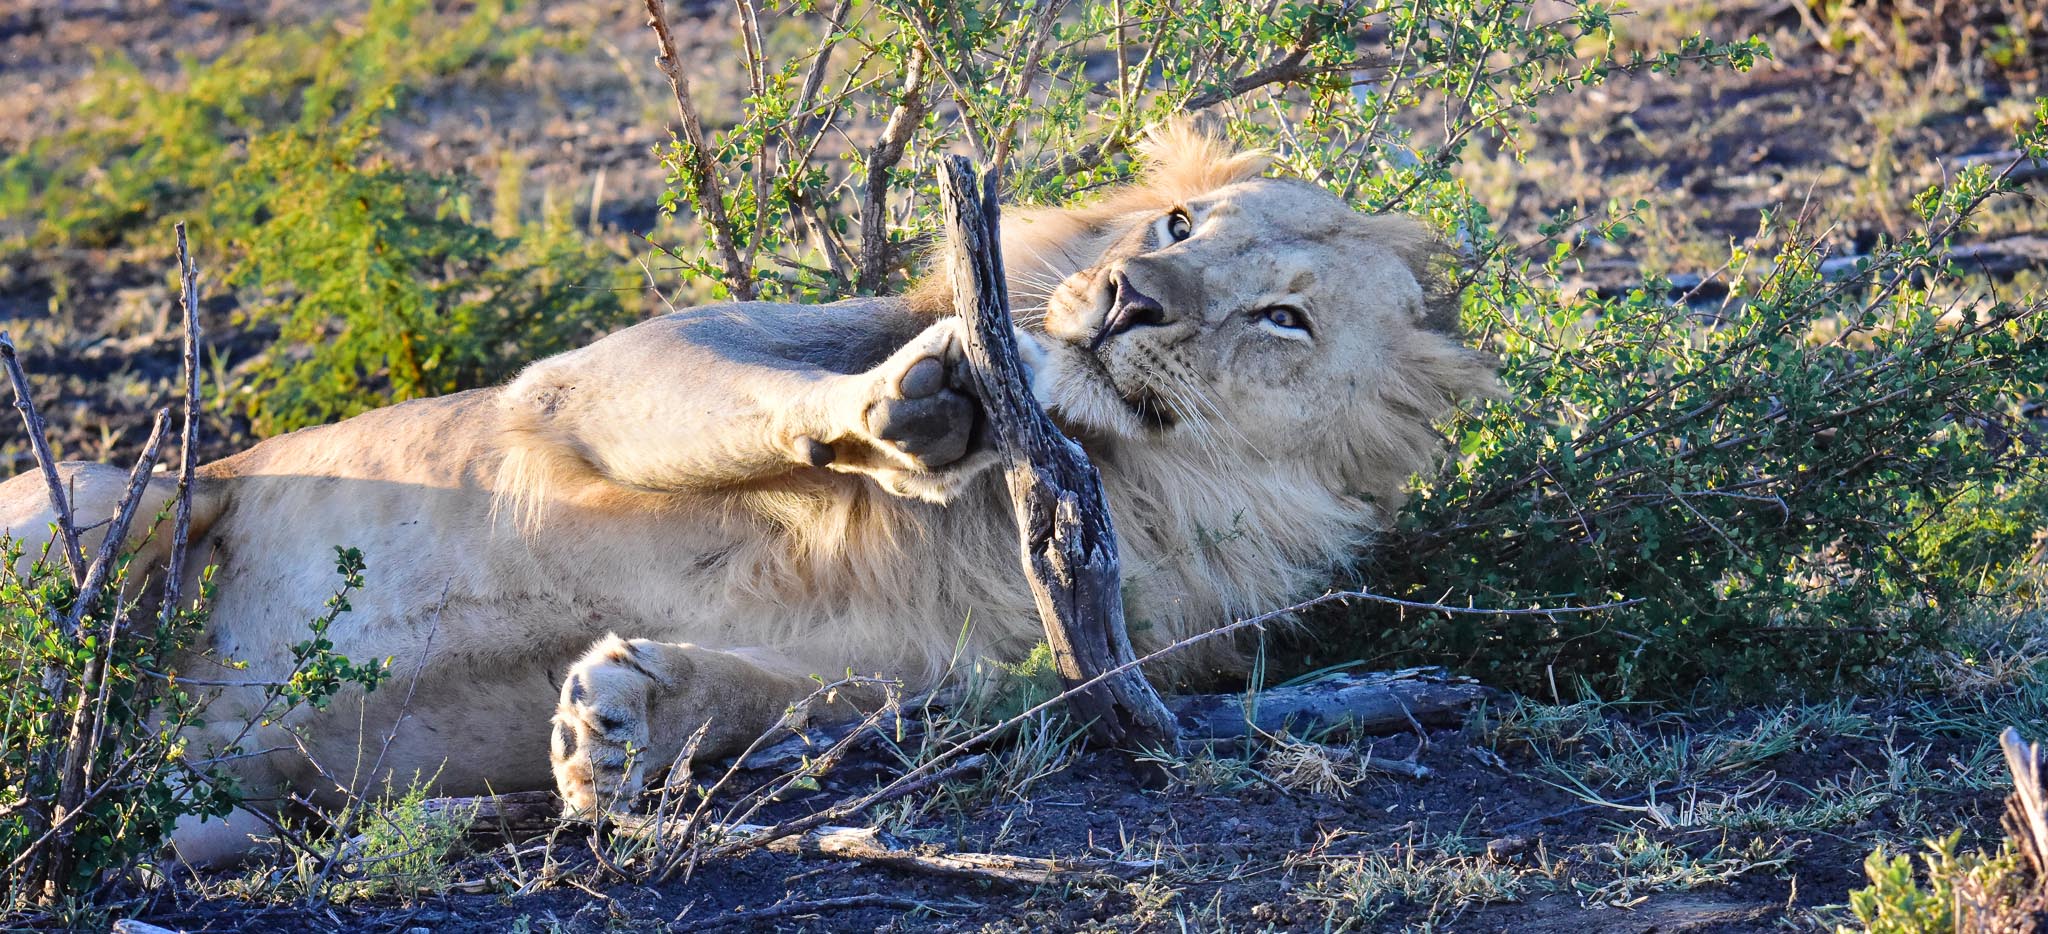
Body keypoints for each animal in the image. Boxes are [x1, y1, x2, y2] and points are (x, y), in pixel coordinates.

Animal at [0, 125, 1496, 863]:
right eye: (1178, 225)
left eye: (1282, 317)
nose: (1127, 294)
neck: (1114, 468)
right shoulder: (580, 386)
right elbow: (772, 395)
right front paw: (927, 396)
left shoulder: (981, 678)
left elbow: (788, 696)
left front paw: (618, 727)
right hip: (108, 492)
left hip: (215, 793)